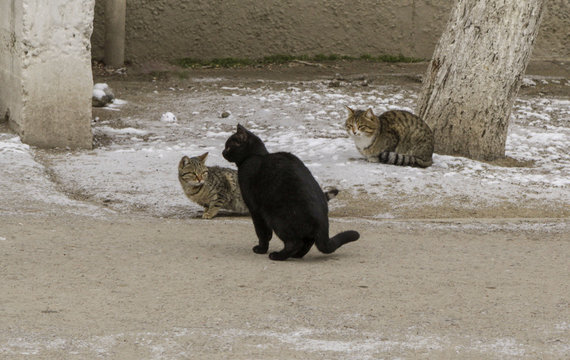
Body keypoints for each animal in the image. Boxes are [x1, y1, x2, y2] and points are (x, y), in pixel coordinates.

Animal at [221, 125, 358, 260]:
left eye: (228, 146)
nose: (222, 152)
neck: (255, 156)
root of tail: (322, 224)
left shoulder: (255, 210)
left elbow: (263, 233)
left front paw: (261, 249)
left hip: (278, 219)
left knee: (295, 243)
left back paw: (278, 255)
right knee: (307, 242)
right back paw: (296, 255)